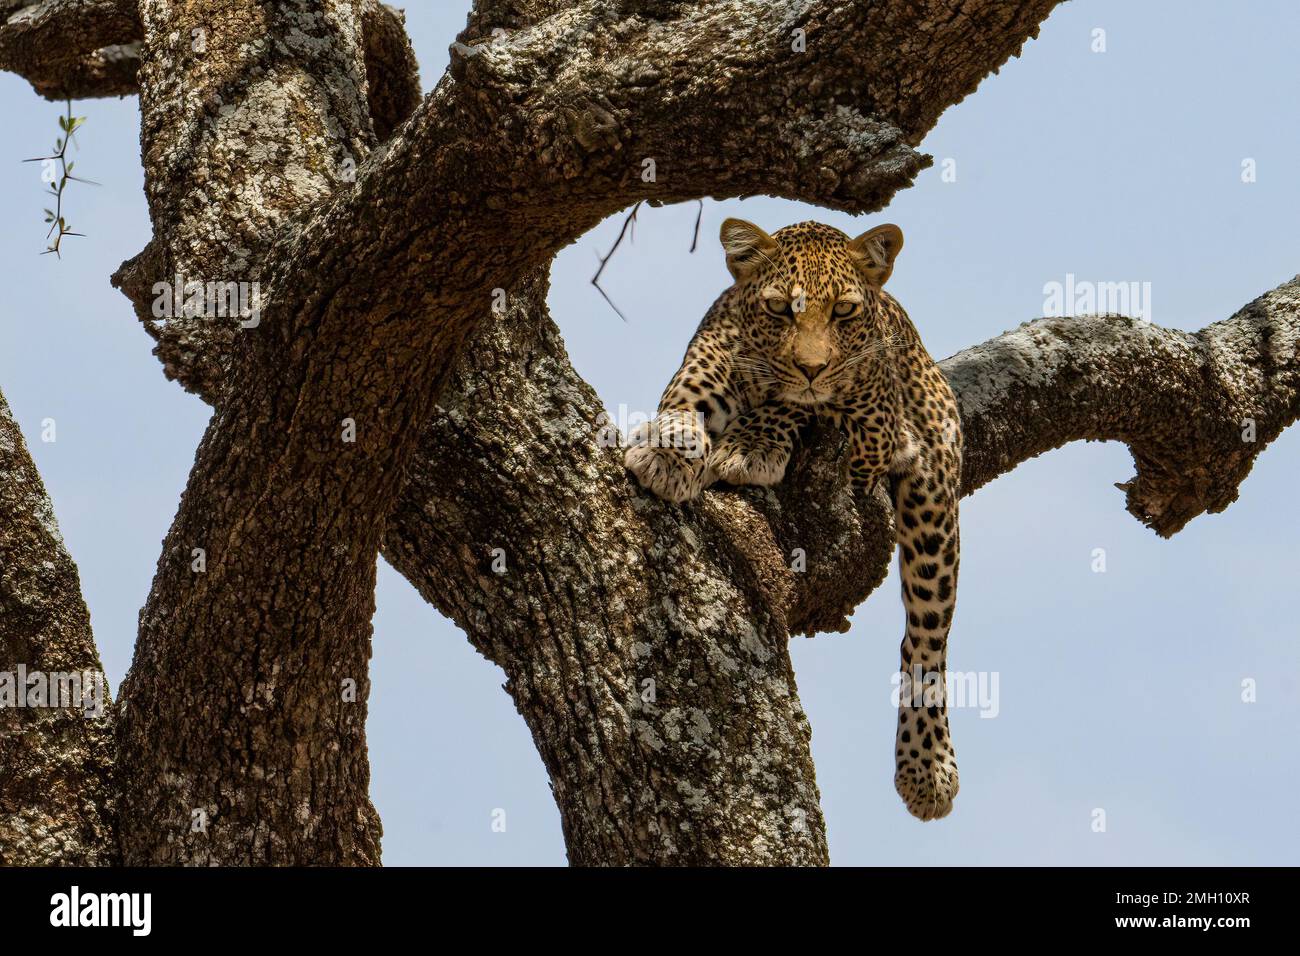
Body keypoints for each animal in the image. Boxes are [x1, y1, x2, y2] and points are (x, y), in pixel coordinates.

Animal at [624, 217, 963, 822]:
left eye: (844, 312)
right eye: (780, 309)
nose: (811, 366)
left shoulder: (872, 421)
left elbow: (803, 404)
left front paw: (751, 444)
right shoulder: (700, 372)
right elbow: (684, 409)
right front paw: (668, 454)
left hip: (934, 503)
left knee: (926, 640)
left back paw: (926, 768)